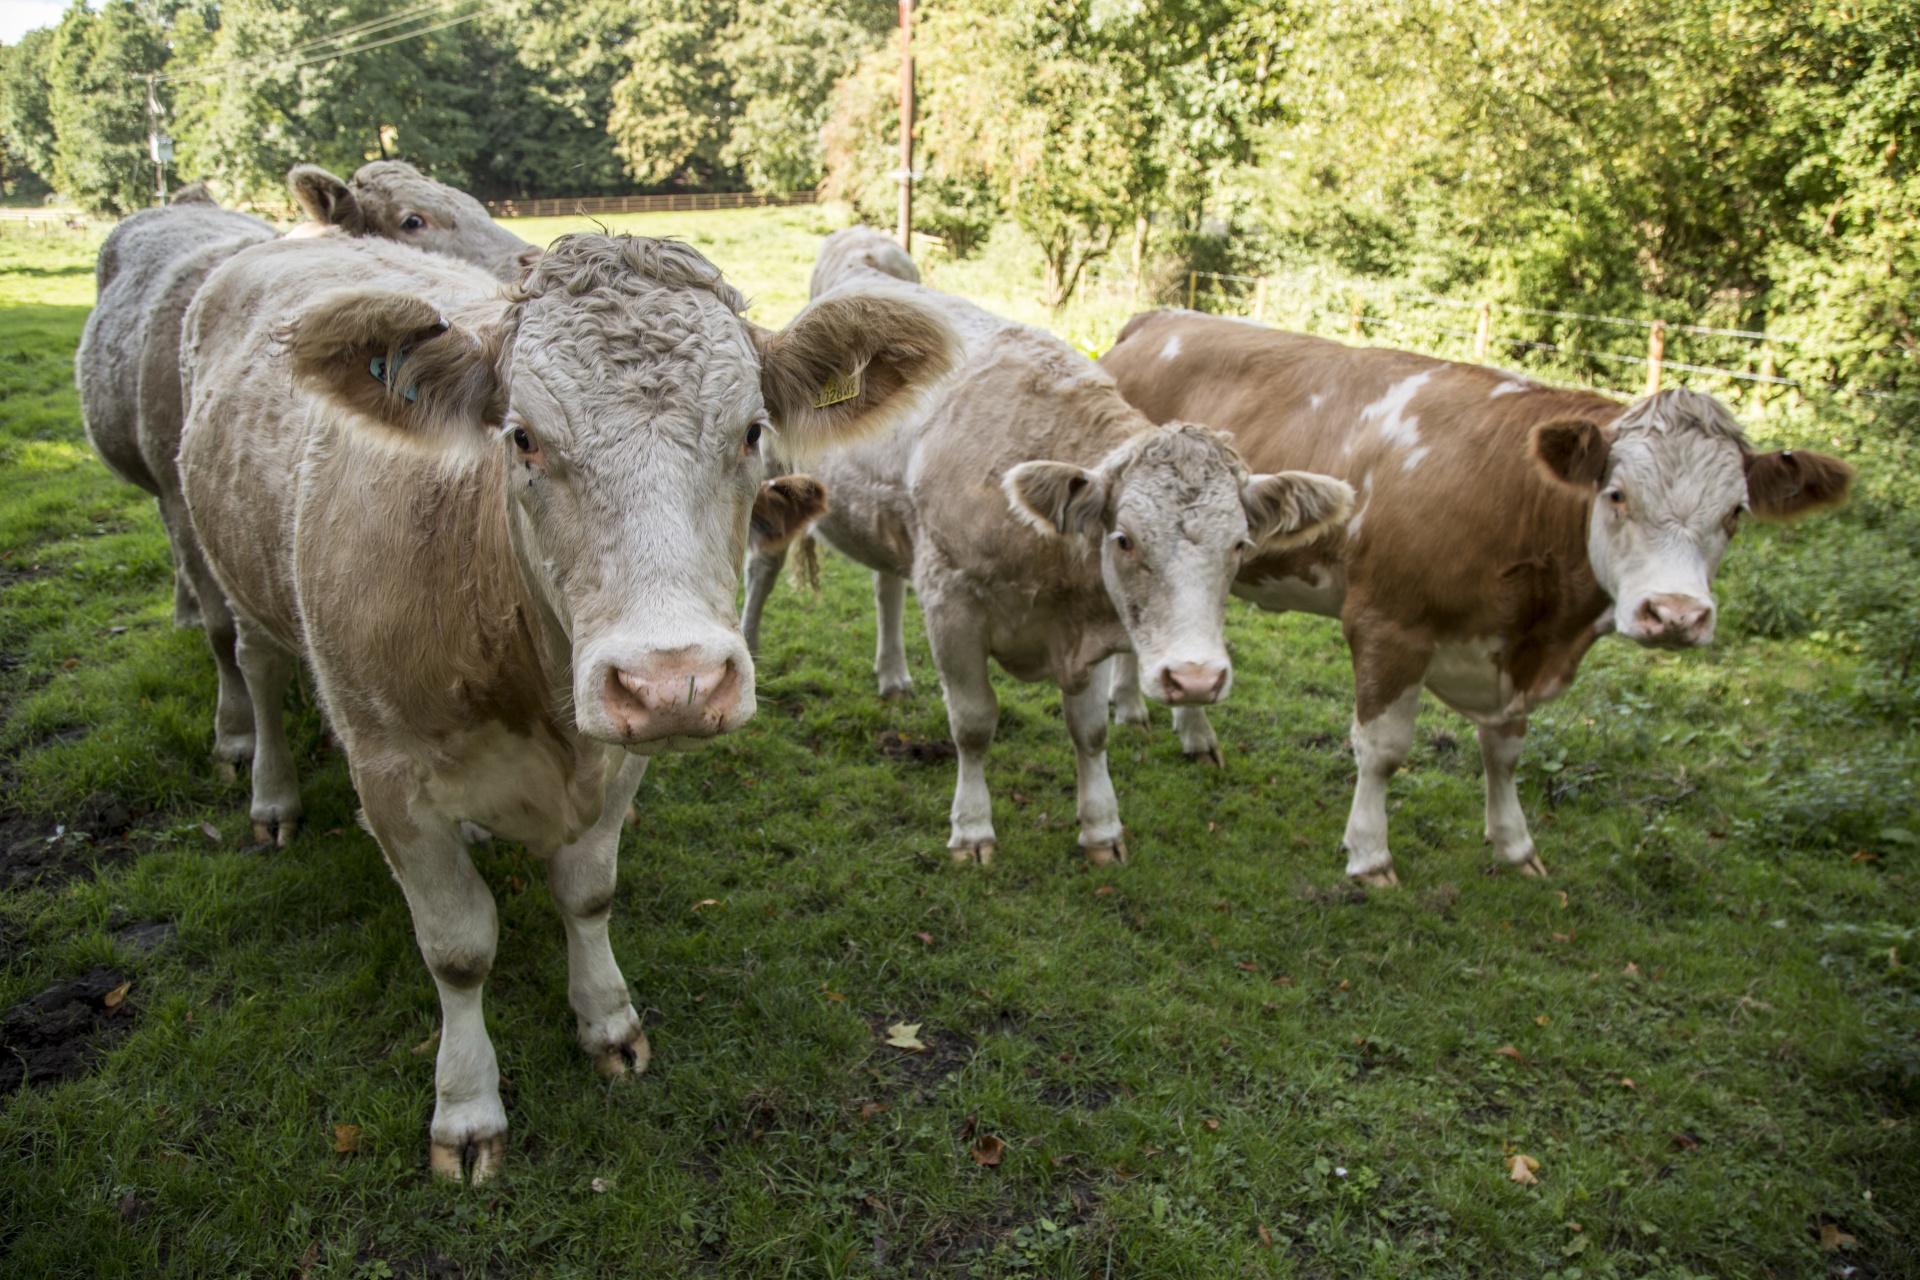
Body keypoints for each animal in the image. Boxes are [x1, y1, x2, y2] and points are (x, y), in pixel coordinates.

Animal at [180, 233, 960, 1182]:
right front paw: (466, 1107)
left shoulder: (618, 756)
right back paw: (271, 796)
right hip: (235, 577)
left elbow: (588, 894)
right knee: (255, 668)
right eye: (523, 438)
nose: (673, 679)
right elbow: (458, 946)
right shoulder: (387, 770)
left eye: (751, 431)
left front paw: (608, 1023)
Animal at [748, 233, 1351, 871]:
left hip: (889, 519)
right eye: (1124, 539)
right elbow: (974, 723)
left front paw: (1102, 828)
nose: (1194, 681)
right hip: (774, 480)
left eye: (1239, 544)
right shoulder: (952, 604)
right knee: (763, 565)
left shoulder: (1088, 626)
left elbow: (1089, 731)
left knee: (886, 582)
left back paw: (893, 675)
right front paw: (972, 828)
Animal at [1105, 314, 1850, 886]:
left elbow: (1505, 752)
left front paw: (1516, 846)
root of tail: (1159, 318)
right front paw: (1370, 856)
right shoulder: (1387, 625)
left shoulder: (1509, 651)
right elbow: (1384, 750)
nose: (1676, 615)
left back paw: (1169, 723)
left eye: (1736, 513)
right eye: (1616, 495)